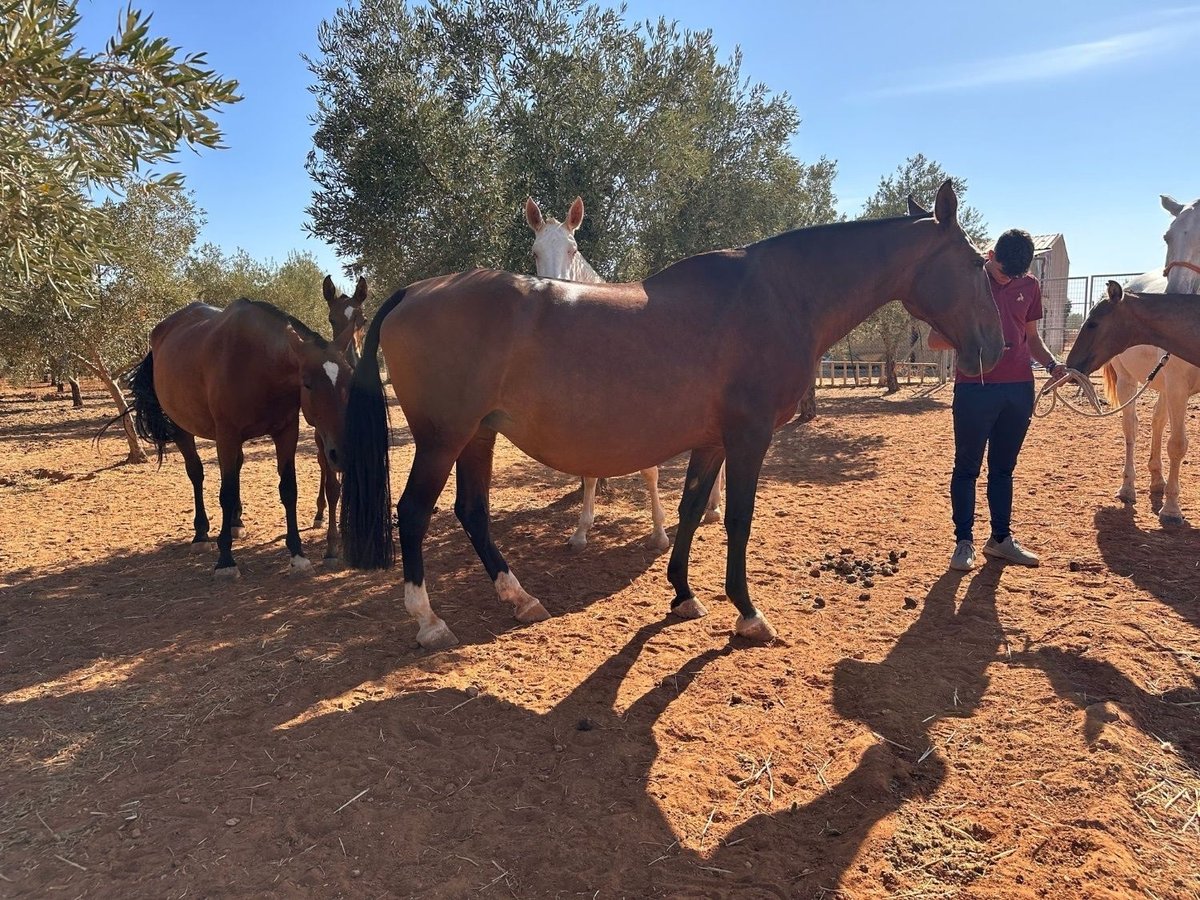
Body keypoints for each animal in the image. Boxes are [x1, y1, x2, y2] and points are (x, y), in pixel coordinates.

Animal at [132, 296, 355, 578]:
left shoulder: (286, 431)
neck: (257, 363)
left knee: (236, 468)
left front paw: (298, 554)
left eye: (349, 378)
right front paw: (225, 560)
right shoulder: (226, 434)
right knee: (196, 473)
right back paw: (201, 534)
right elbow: (226, 492)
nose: (343, 452)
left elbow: (288, 489)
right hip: (183, 428)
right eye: (307, 383)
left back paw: (235, 522)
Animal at [525, 196, 720, 549]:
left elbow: (649, 471)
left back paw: (714, 509)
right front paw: (580, 532)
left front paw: (659, 533)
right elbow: (589, 472)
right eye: (535, 251)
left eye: (573, 249)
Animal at [1099, 194, 1200, 525]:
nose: (1175, 298)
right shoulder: (1178, 385)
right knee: (1131, 428)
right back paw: (1128, 488)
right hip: (1131, 382)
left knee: (1157, 422)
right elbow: (1178, 444)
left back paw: (1157, 481)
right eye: (1167, 237)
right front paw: (1171, 510)